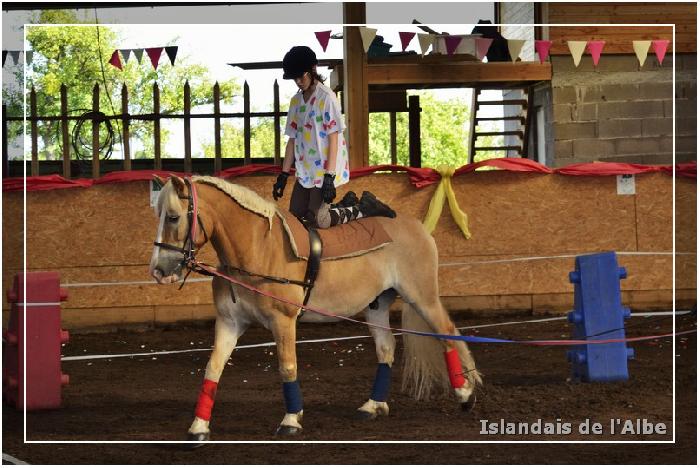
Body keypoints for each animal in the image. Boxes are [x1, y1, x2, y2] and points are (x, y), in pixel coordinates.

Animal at [149, 174, 482, 440]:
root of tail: (417, 227)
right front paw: (199, 427)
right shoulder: (230, 322)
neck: (257, 249)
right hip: (376, 305)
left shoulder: (283, 321)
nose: (159, 271)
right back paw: (373, 405)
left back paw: (464, 393)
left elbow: (287, 366)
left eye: (174, 217)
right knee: (386, 347)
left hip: (421, 297)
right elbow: (213, 368)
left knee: (446, 333)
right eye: (159, 215)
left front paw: (291, 420)